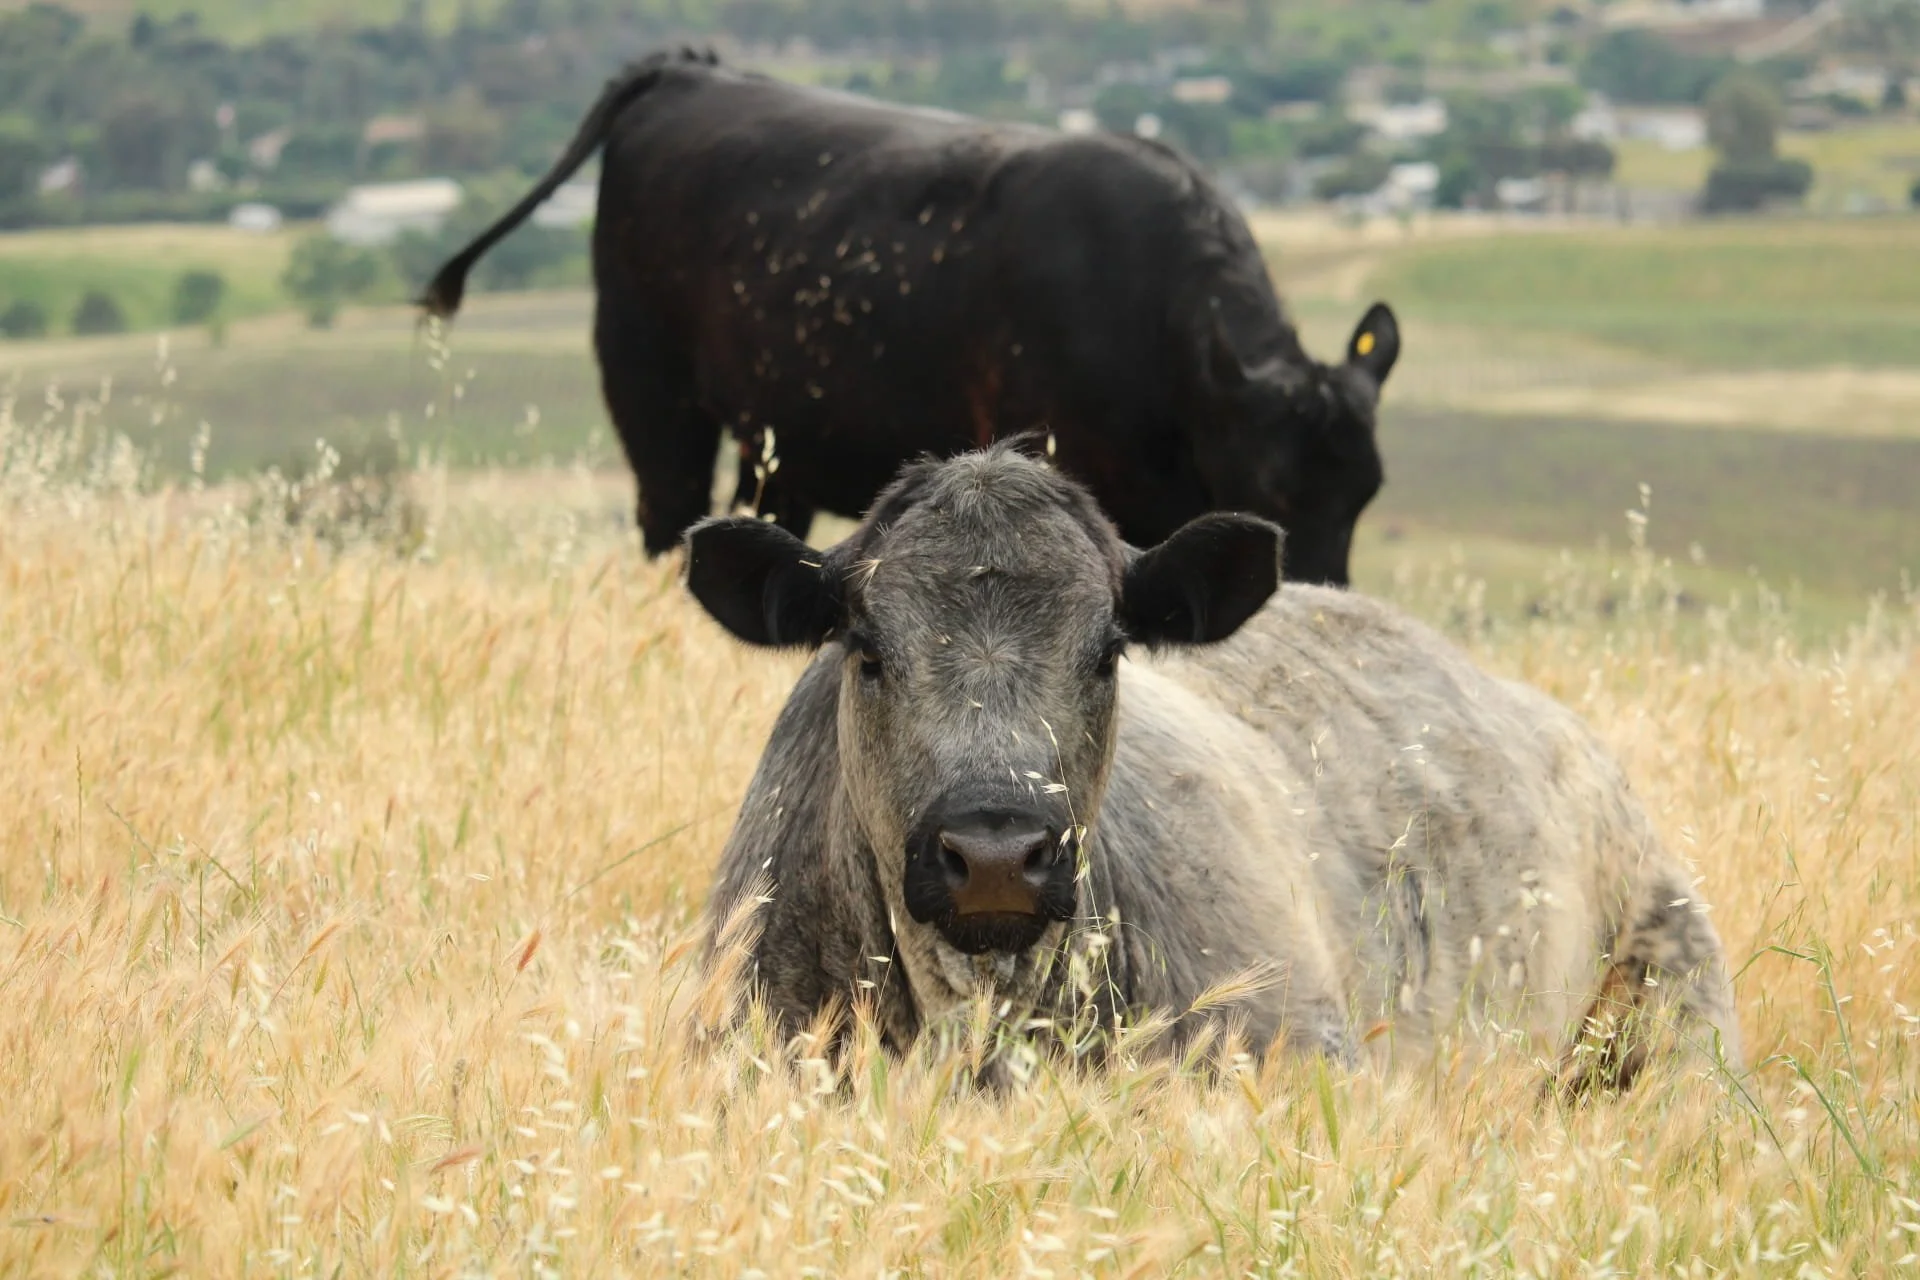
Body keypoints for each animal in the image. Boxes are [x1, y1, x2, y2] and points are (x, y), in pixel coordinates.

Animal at [419, 48, 1400, 586]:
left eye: (1366, 493)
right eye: (1276, 490)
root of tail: (688, 71)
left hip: (778, 442)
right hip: (650, 389)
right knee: (667, 518)